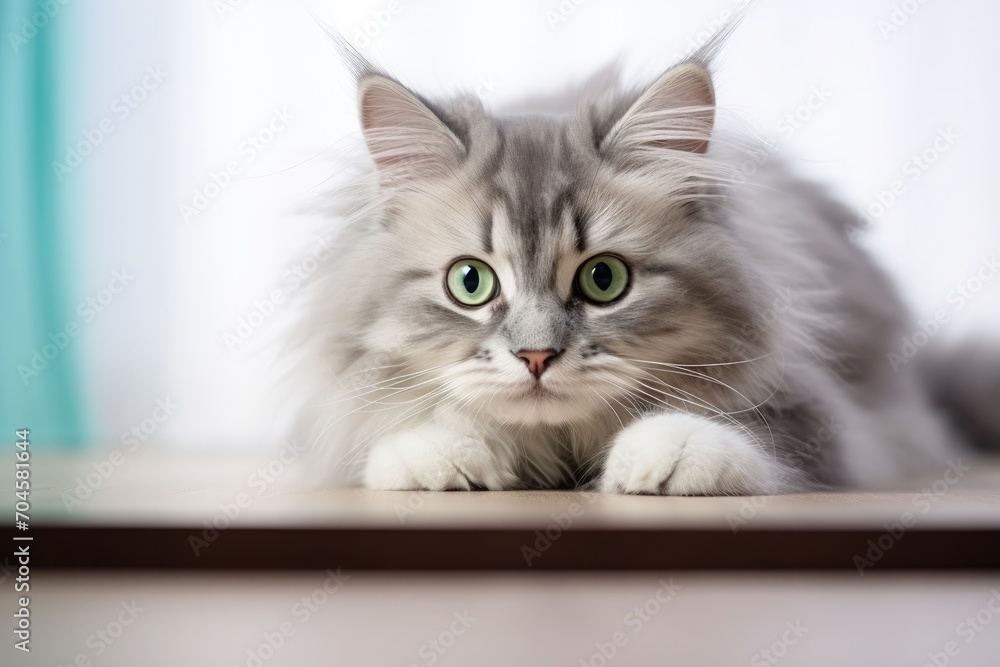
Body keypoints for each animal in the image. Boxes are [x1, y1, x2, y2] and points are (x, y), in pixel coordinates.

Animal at [288, 30, 984, 496]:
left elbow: (752, 436)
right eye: (470, 281)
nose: (536, 357)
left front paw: (671, 452)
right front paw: (442, 455)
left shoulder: (823, 412)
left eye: (604, 280)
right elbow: (403, 428)